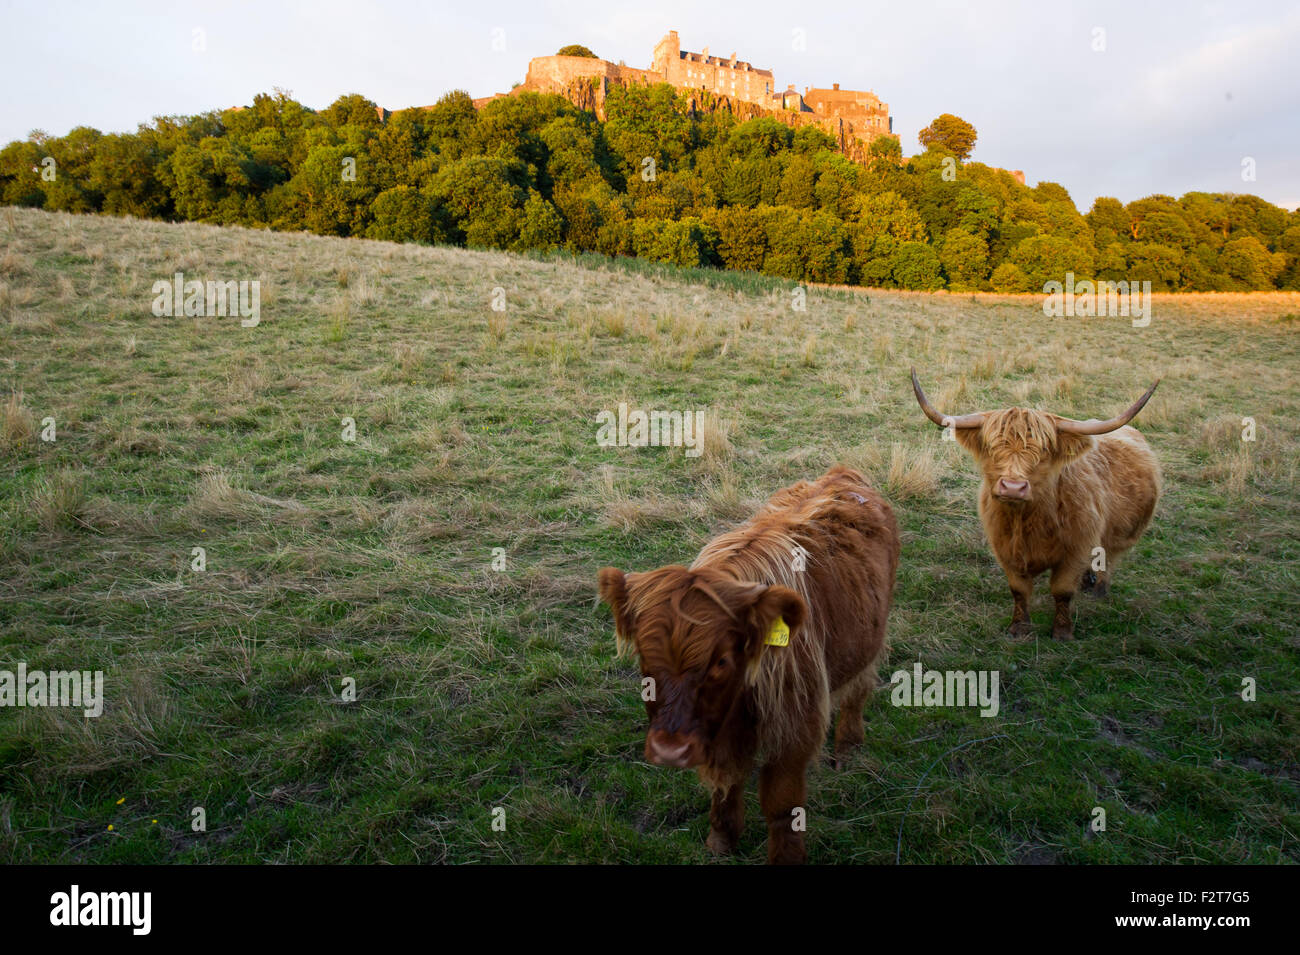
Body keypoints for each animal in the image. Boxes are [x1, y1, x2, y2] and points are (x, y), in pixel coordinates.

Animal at [597, 466, 899, 864]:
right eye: (643, 658)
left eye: (722, 660)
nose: (669, 751)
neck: (738, 705)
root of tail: (842, 473)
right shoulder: (716, 734)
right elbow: (725, 782)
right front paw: (721, 839)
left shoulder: (794, 729)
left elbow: (781, 805)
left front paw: (786, 857)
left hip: (871, 637)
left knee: (858, 689)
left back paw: (848, 749)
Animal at [910, 368, 1161, 641]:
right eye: (991, 447)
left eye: (1044, 451)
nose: (1012, 487)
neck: (1027, 520)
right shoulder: (1005, 549)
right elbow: (1019, 589)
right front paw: (1019, 627)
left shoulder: (1075, 550)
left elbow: (1062, 591)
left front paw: (1062, 632)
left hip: (1120, 535)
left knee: (1109, 557)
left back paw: (1098, 591)